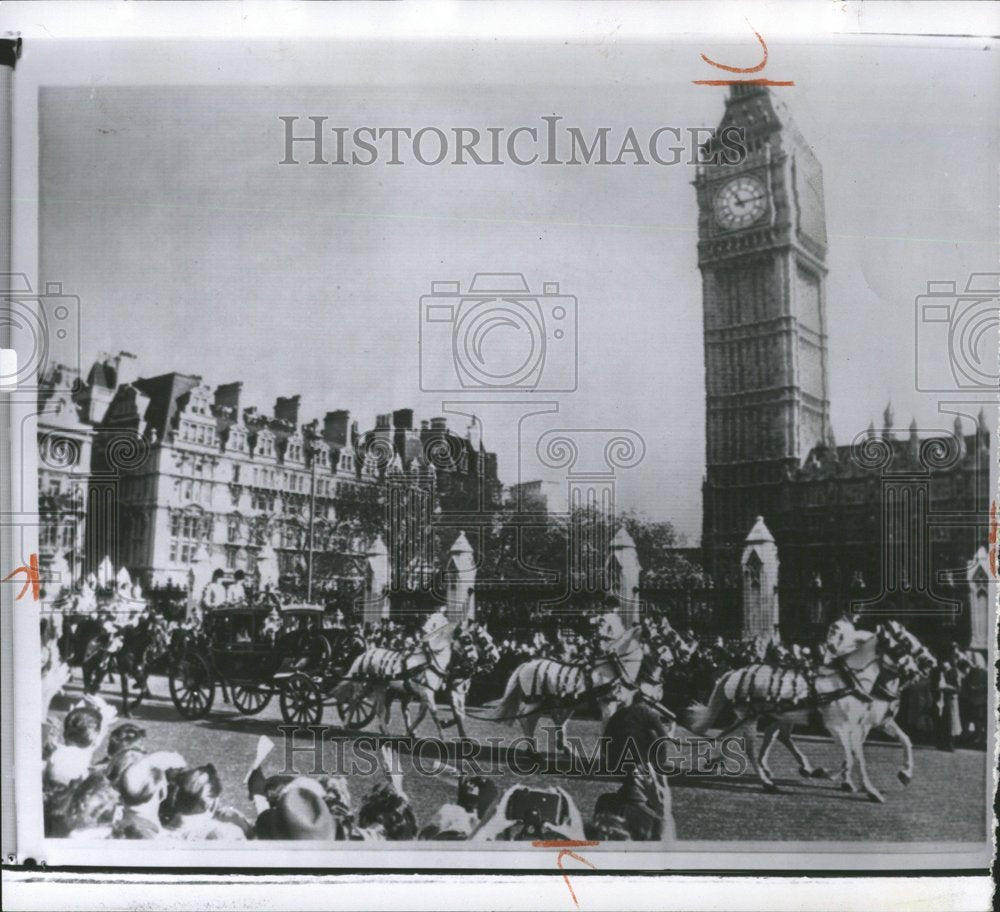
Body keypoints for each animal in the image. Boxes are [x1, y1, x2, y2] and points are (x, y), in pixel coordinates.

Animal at [338, 608, 458, 736]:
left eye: (436, 622)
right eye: (430, 619)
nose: (423, 632)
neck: (430, 660)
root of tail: (364, 654)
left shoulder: (427, 692)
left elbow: (422, 715)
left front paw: (410, 732)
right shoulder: (426, 692)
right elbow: (434, 714)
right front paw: (442, 735)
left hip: (380, 686)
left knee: (379, 709)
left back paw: (385, 730)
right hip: (363, 684)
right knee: (354, 701)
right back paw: (345, 726)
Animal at [494, 612, 648, 756]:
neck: (614, 668)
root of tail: (526, 664)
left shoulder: (623, 704)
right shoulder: (608, 703)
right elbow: (606, 728)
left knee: (546, 719)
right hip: (536, 701)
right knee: (526, 718)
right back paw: (533, 750)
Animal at [688, 616, 920, 800]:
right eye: (902, 646)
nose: (917, 671)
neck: (848, 681)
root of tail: (733, 673)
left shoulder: (859, 726)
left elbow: (862, 754)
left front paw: (882, 783)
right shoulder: (838, 727)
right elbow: (851, 756)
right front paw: (835, 777)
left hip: (762, 716)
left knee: (744, 737)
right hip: (751, 716)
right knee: (750, 748)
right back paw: (767, 782)